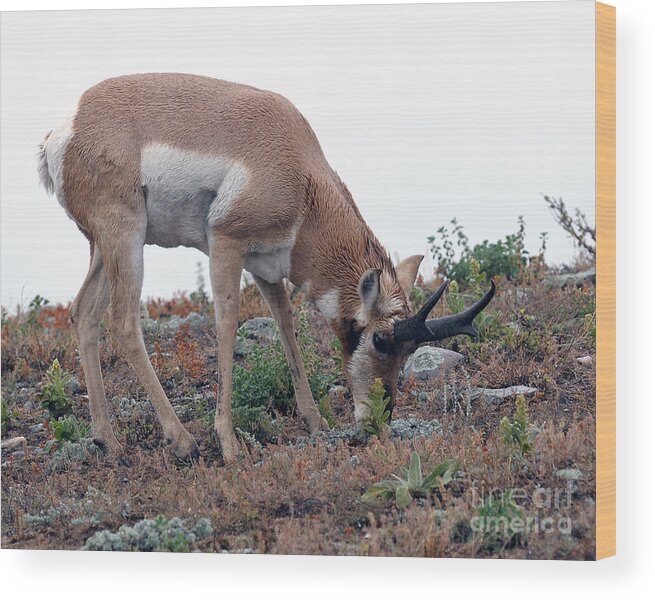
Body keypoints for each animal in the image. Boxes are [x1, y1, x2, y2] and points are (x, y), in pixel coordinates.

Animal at [38, 72, 494, 462]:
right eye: (382, 340)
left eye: (411, 350)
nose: (379, 420)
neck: (300, 174)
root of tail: (65, 129)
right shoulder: (226, 245)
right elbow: (226, 324)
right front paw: (228, 442)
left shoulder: (266, 266)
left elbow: (285, 323)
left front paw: (315, 420)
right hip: (126, 238)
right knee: (124, 321)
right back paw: (183, 440)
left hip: (103, 247)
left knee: (83, 313)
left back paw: (108, 441)